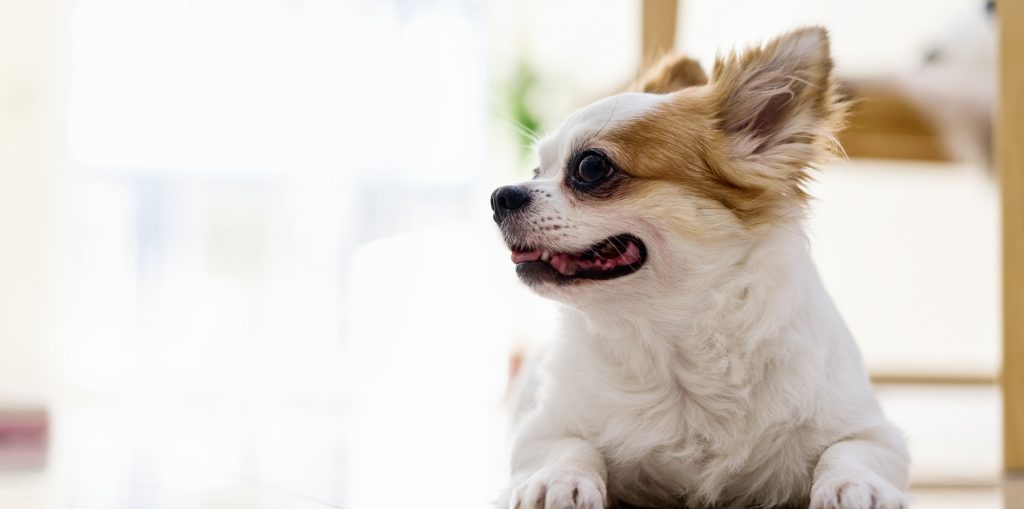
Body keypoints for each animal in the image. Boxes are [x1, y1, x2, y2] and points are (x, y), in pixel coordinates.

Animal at [491, 28, 909, 507]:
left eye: (590, 167)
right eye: (535, 170)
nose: (499, 196)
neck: (673, 342)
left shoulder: (874, 431)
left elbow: (850, 452)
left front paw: (856, 486)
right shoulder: (542, 428)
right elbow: (567, 446)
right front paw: (557, 481)